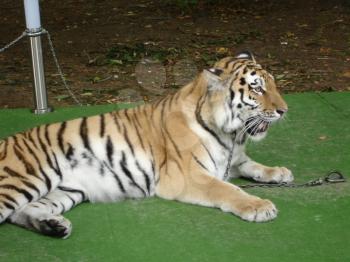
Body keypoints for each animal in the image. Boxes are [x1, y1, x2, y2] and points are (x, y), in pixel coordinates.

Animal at [0, 51, 292, 237]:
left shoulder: (233, 159)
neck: (231, 134)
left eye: (273, 84)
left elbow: (252, 165)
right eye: (257, 88)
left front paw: (279, 172)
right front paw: (259, 206)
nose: (284, 111)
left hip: (65, 190)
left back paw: (54, 227)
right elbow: (228, 189)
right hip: (23, 180)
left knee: (24, 211)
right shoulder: (188, 176)